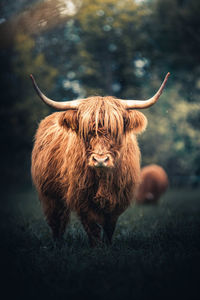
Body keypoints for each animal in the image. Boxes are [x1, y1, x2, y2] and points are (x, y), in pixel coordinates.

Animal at [30, 72, 170, 246]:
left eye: (115, 130)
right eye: (87, 131)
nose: (101, 160)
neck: (104, 180)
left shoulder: (117, 201)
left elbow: (109, 228)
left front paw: (107, 246)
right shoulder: (81, 199)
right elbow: (93, 229)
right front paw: (97, 247)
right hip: (50, 195)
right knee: (57, 221)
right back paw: (57, 243)